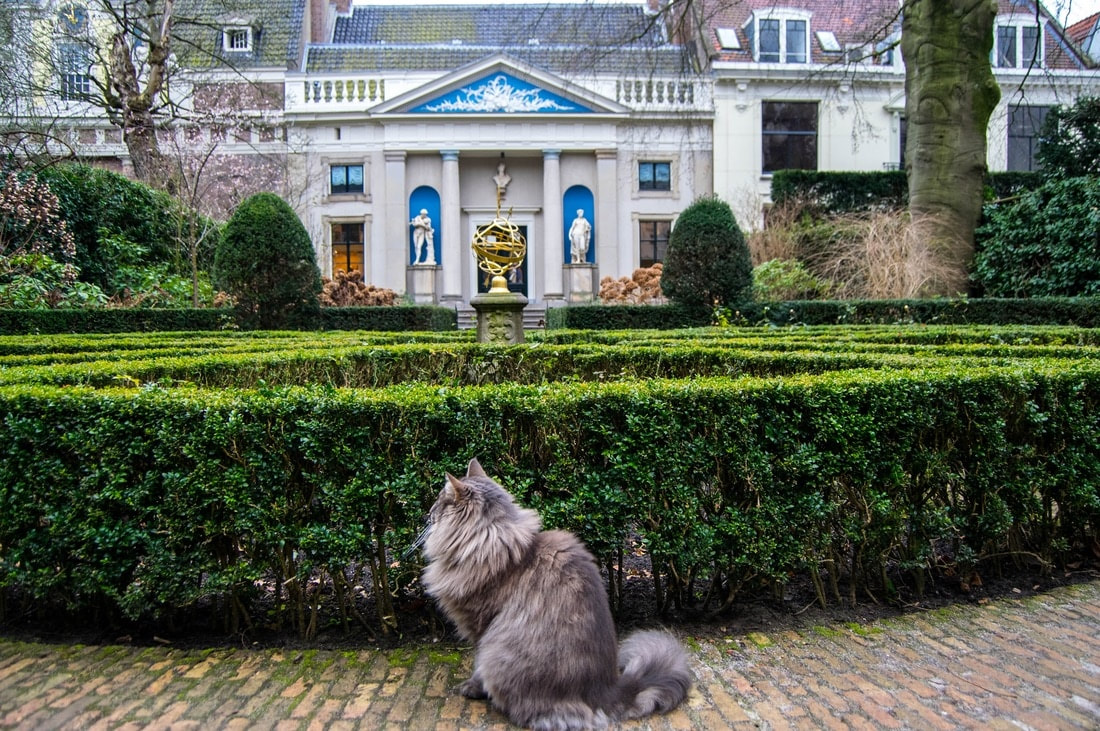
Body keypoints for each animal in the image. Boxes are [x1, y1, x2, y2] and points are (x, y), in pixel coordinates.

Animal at [415, 459, 690, 725]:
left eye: (440, 502)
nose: (427, 514)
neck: (488, 540)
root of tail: (606, 691)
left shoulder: (482, 627)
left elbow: (477, 665)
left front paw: (473, 688)